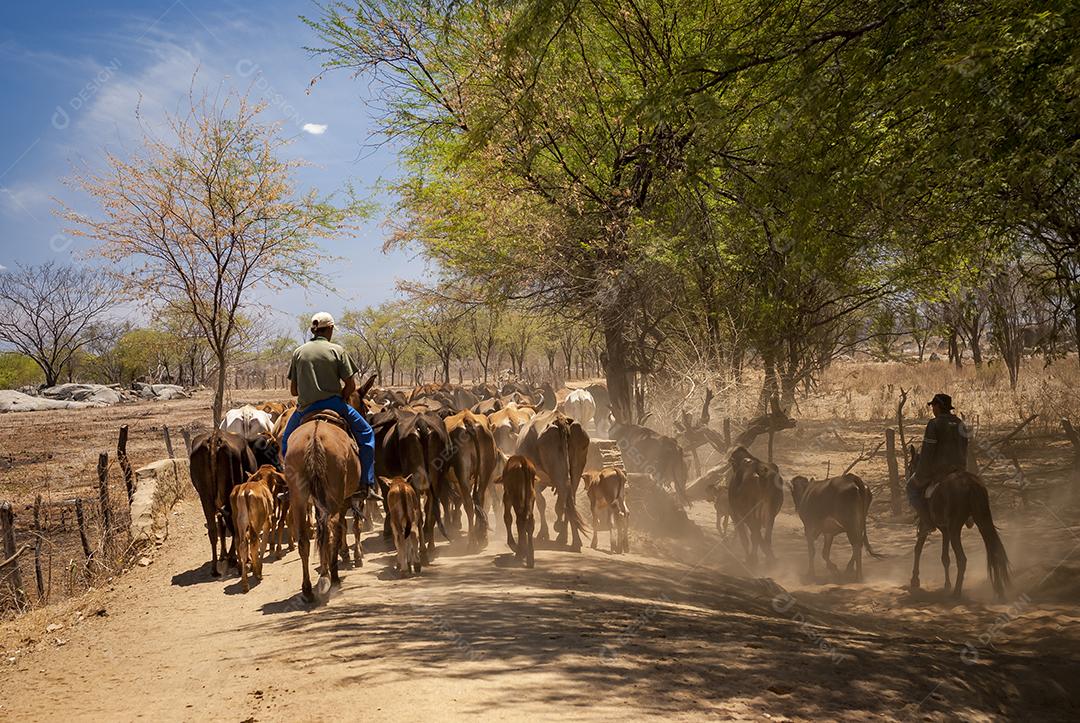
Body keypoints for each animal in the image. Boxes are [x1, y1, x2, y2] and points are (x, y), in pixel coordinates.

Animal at [190, 427, 257, 574]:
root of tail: (215, 438)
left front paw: (224, 555)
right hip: (229, 495)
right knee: (234, 526)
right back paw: (237, 561)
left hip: (205, 497)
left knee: (213, 530)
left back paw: (215, 568)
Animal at [285, 414, 360, 600]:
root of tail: (315, 436)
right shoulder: (344, 500)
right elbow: (341, 527)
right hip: (335, 498)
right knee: (333, 529)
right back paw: (331, 577)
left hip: (298, 497)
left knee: (304, 540)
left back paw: (307, 590)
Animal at [911, 445, 1010, 596]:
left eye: (910, 465)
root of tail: (970, 483)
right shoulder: (945, 530)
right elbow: (945, 557)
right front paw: (947, 584)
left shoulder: (925, 525)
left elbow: (918, 549)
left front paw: (915, 580)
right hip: (982, 521)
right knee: (993, 550)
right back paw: (999, 590)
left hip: (955, 528)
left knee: (962, 559)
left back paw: (957, 592)